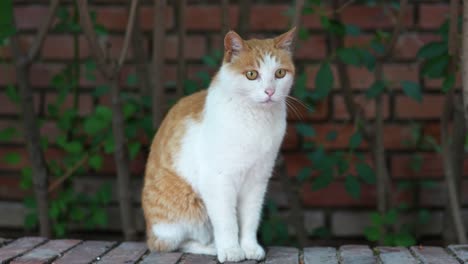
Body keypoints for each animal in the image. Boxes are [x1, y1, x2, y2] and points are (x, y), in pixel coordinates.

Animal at [143, 26, 296, 262]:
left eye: (279, 73)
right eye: (252, 74)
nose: (270, 91)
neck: (255, 120)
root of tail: (150, 230)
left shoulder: (257, 180)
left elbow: (250, 219)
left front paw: (249, 247)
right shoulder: (218, 180)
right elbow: (227, 222)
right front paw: (232, 250)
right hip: (189, 210)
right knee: (173, 244)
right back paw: (213, 247)